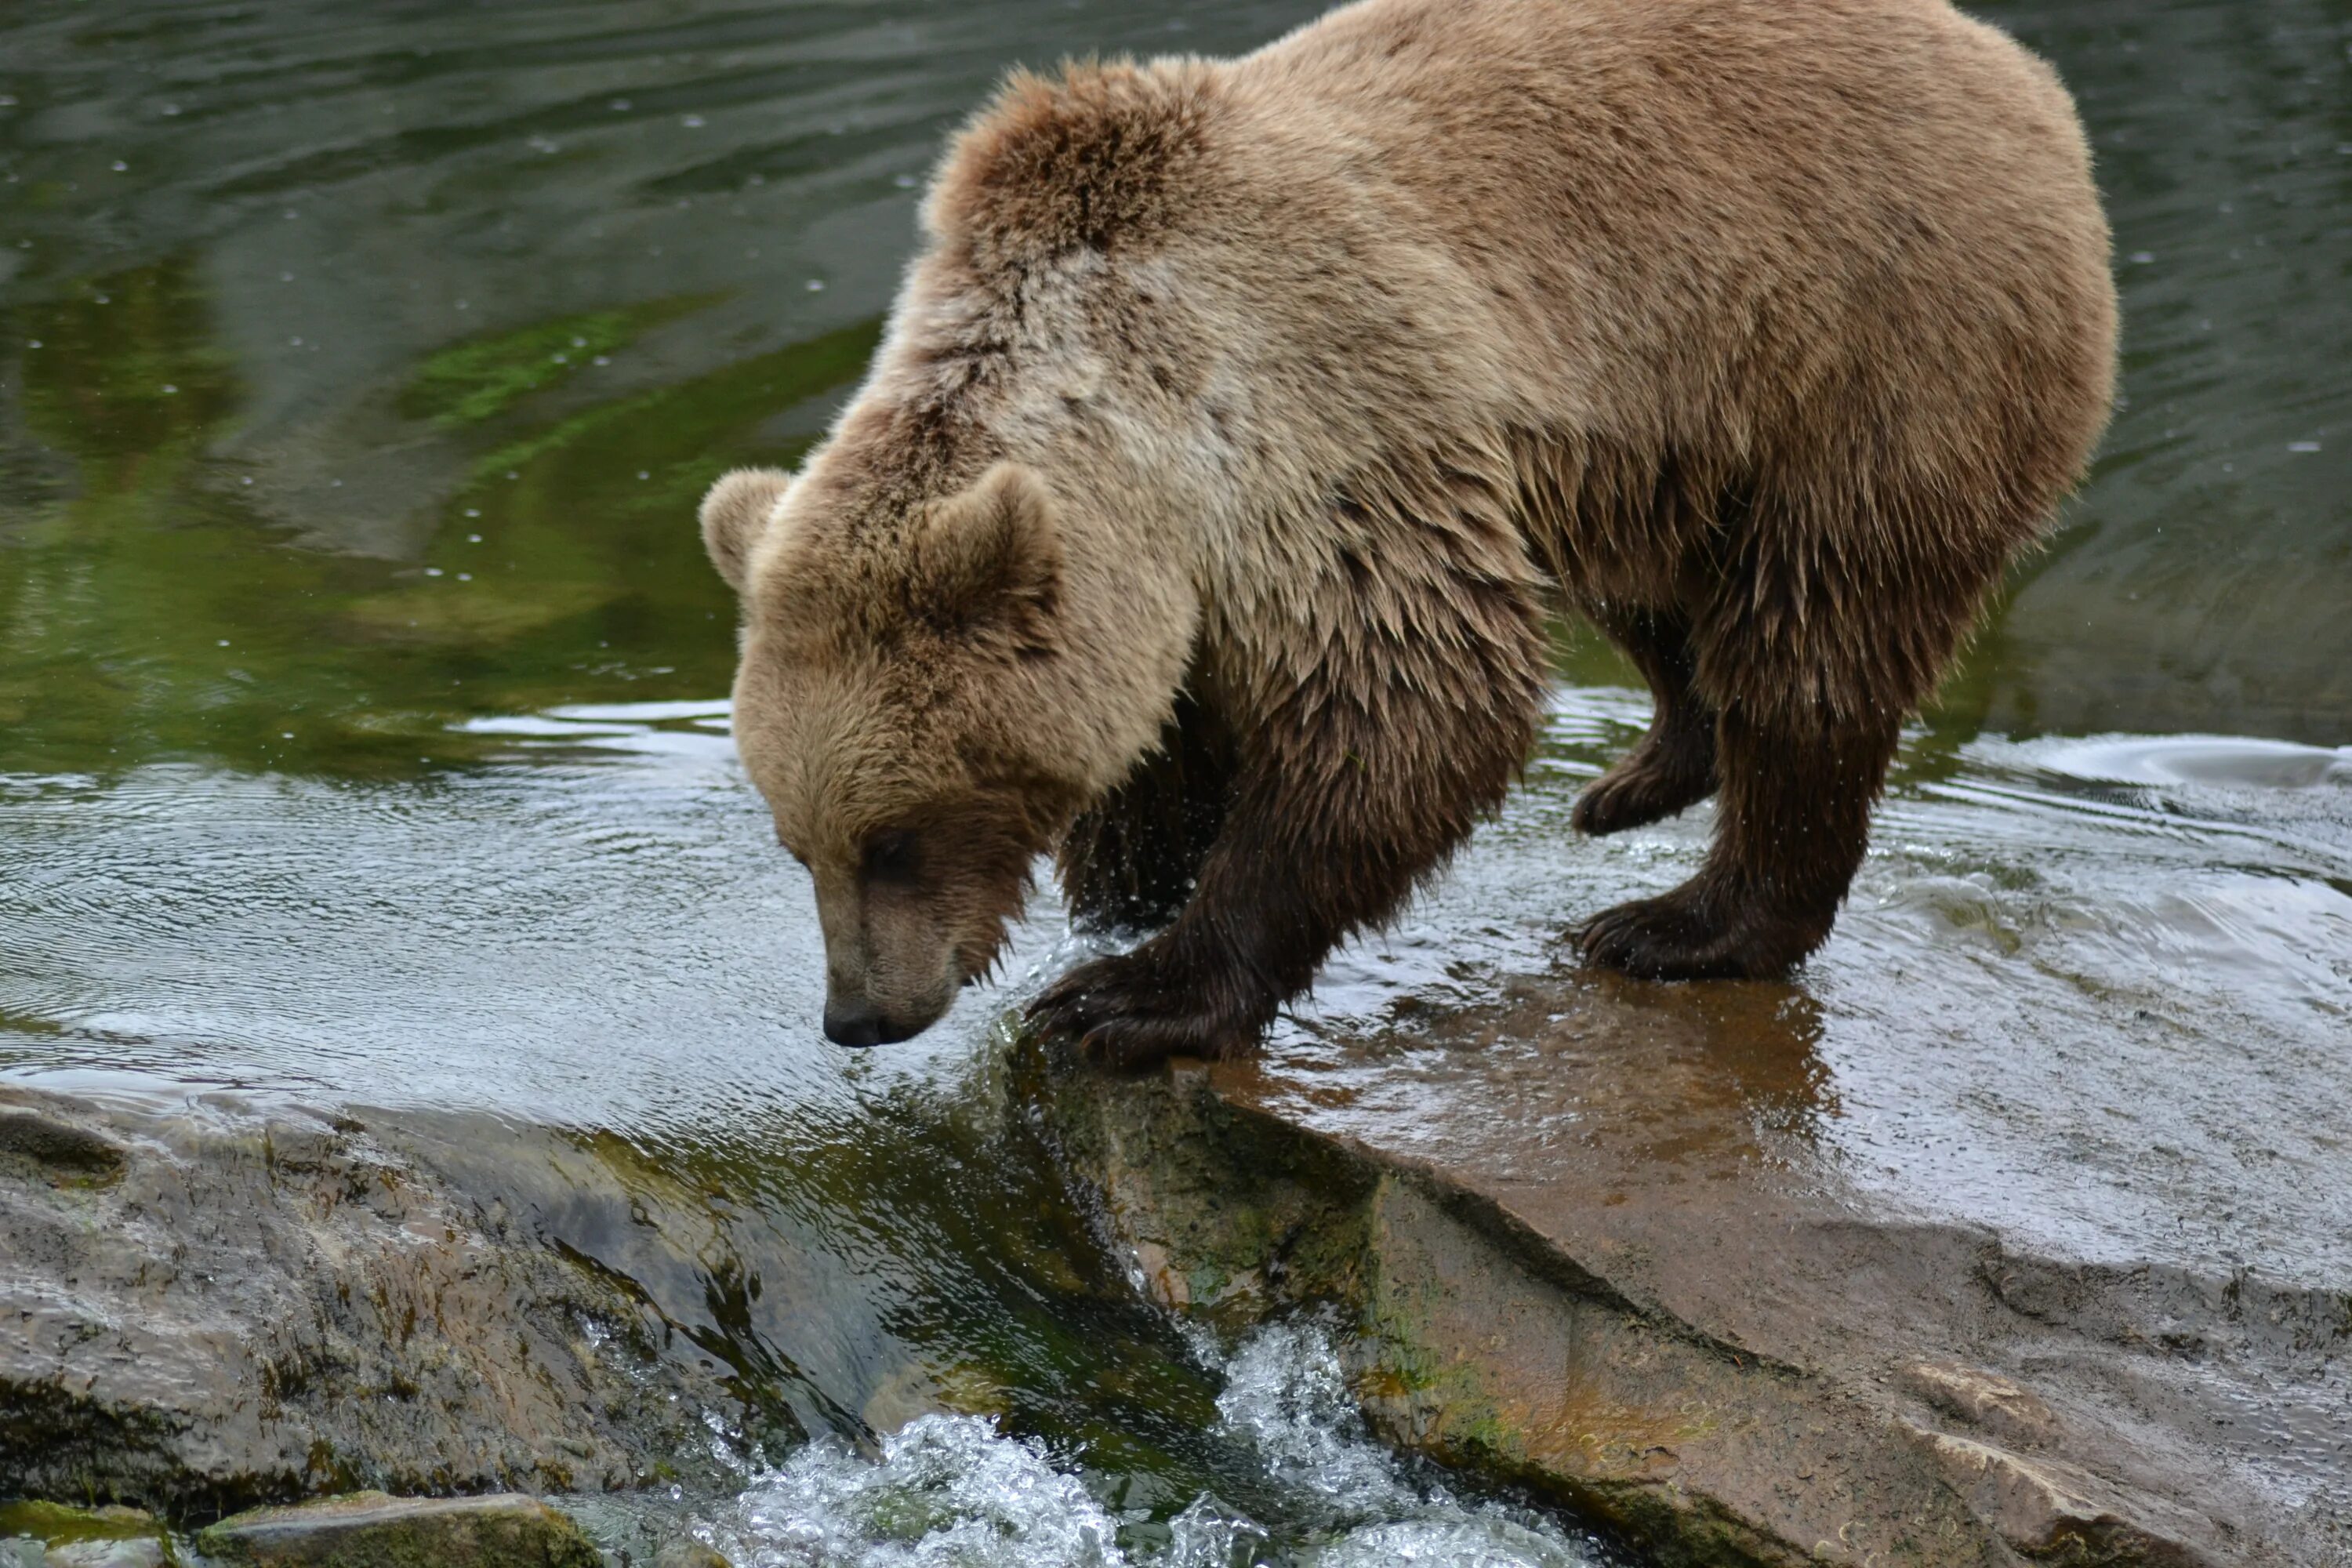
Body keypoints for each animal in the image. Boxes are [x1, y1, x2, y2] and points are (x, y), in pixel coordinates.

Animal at [696, 0, 2117, 1067]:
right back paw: (1646, 770)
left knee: (1817, 637)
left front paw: (1128, 995)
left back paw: (1686, 922)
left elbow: (1411, 696)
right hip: (1660, 429)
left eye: (897, 835)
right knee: (1650, 585)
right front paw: (1128, 867)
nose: (860, 1015)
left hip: (1866, 345)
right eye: (795, 838)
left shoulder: (1314, 412)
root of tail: (2015, 67)